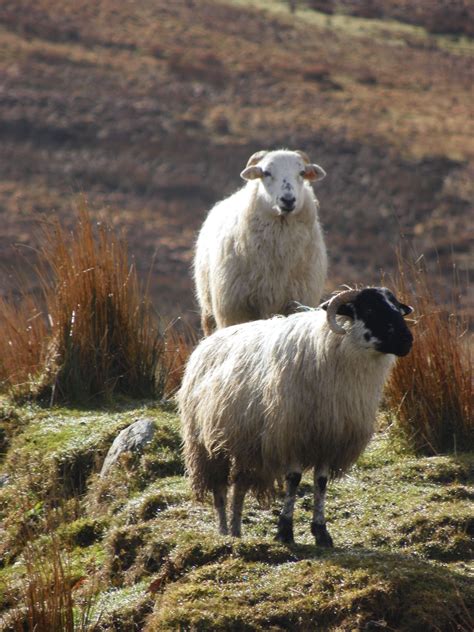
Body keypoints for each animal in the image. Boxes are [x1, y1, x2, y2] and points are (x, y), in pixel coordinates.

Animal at [178, 288, 412, 544]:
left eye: (398, 309)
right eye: (370, 309)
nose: (407, 341)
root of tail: (207, 342)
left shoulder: (328, 438)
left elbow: (321, 483)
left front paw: (321, 532)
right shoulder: (291, 434)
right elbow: (294, 479)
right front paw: (285, 531)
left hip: (245, 446)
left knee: (238, 489)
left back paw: (236, 531)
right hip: (206, 443)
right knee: (219, 488)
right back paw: (223, 531)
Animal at [194, 149, 328, 336]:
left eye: (302, 173)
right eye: (266, 172)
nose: (288, 200)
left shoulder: (297, 302)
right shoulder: (235, 309)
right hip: (207, 307)